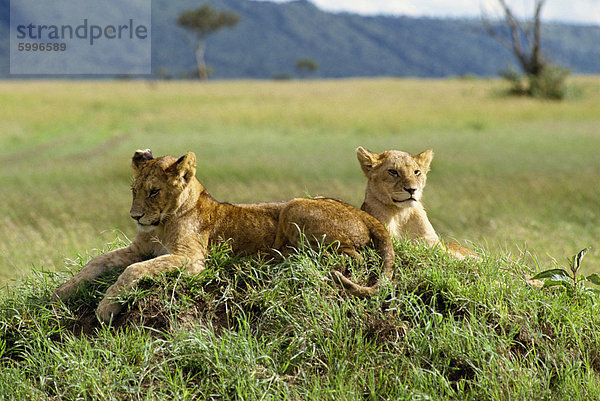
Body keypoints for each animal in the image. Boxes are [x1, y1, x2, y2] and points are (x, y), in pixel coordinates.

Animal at [55, 149, 394, 322]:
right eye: (134, 190)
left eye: (154, 192)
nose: (135, 217)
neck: (162, 222)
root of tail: (364, 213)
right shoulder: (139, 248)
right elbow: (98, 262)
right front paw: (63, 291)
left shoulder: (192, 259)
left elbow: (133, 270)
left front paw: (106, 308)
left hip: (296, 205)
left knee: (353, 256)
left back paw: (285, 259)